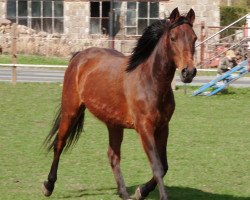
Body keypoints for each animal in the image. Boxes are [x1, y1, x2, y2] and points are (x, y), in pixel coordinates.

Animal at [42, 7, 197, 200]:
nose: (188, 72)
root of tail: (79, 56)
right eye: (173, 38)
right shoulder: (144, 128)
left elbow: (164, 165)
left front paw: (140, 191)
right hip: (71, 110)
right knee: (59, 143)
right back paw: (48, 185)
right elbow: (157, 166)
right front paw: (153, 194)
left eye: (194, 38)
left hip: (114, 123)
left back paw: (124, 193)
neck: (150, 81)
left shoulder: (163, 127)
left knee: (113, 155)